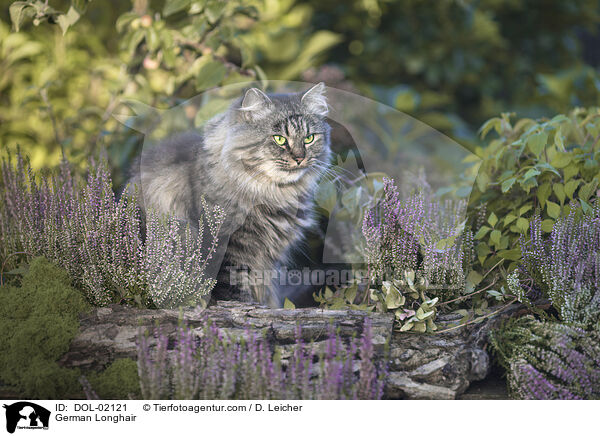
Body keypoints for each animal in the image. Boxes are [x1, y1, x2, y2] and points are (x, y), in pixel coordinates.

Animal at [129, 82, 332, 306]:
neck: (274, 193)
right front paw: (245, 306)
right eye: (279, 139)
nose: (299, 158)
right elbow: (233, 287)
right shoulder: (227, 243)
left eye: (309, 138)